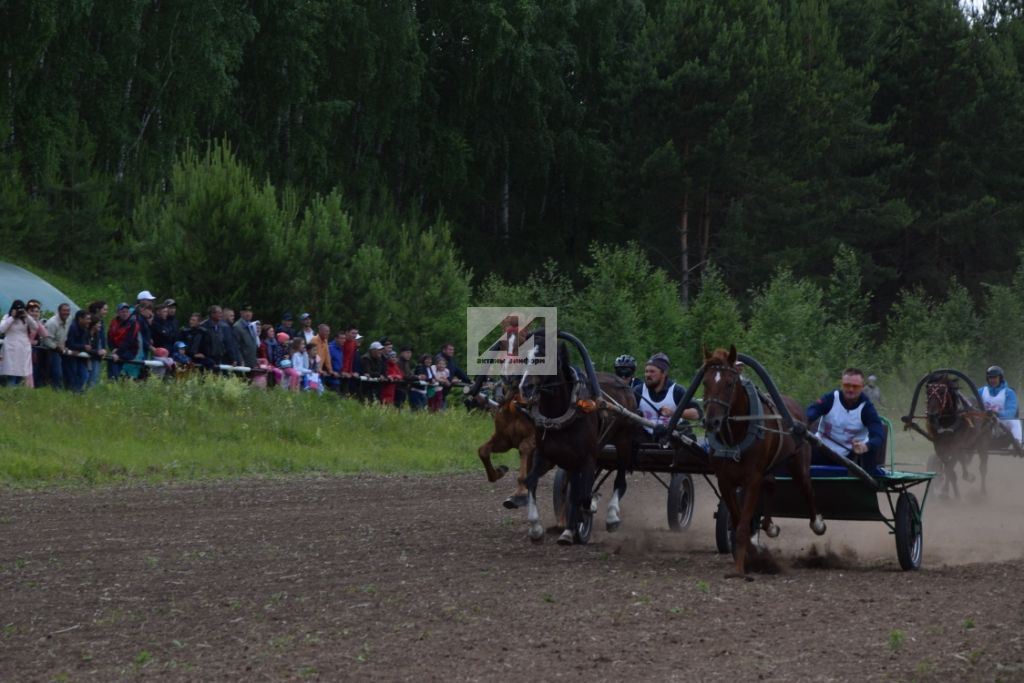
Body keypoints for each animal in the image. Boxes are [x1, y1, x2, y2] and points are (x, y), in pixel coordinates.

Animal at [700, 348, 827, 577]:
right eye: (705, 382)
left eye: (729, 384)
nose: (711, 421)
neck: (735, 437)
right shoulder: (725, 481)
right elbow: (737, 520)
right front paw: (751, 551)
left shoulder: (752, 479)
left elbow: (742, 526)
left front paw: (740, 568)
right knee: (770, 485)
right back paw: (769, 526)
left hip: (799, 461)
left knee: (807, 489)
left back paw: (817, 523)